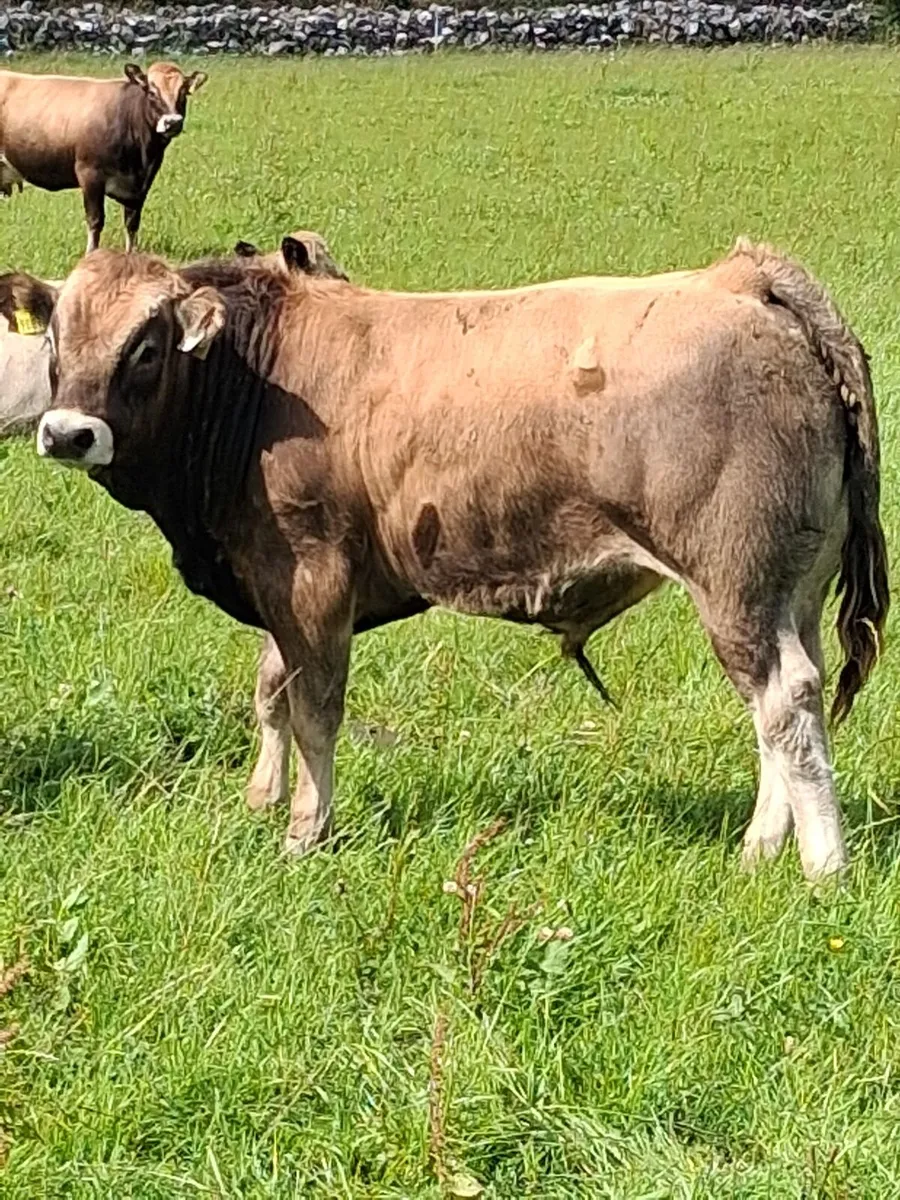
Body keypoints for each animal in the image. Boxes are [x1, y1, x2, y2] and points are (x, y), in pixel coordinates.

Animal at [0, 62, 207, 253]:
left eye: (183, 92)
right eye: (152, 92)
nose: (173, 122)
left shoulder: (141, 185)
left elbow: (132, 224)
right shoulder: (89, 174)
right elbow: (95, 221)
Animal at [24, 240, 888, 882]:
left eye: (146, 346)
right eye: (55, 339)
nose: (68, 433)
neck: (258, 382)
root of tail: (742, 276)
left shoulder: (312, 577)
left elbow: (314, 710)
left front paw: (306, 831)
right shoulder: (273, 583)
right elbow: (272, 692)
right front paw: (261, 799)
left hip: (735, 584)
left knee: (785, 701)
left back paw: (823, 867)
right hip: (790, 589)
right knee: (784, 701)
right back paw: (760, 849)